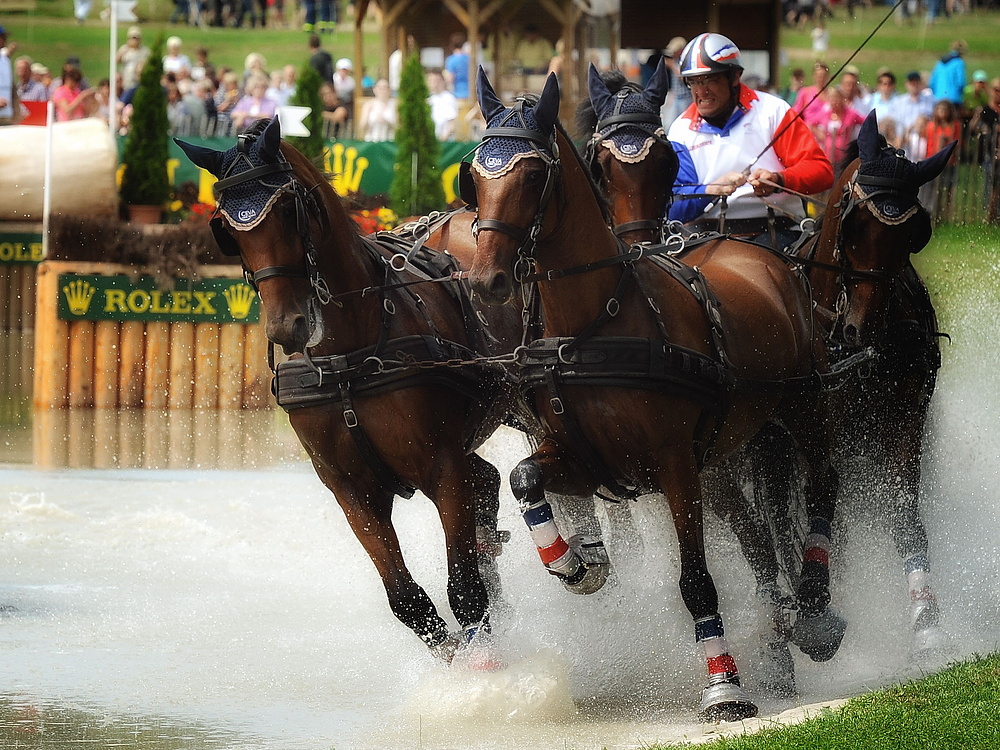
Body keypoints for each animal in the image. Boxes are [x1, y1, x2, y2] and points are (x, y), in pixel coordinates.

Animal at [176, 120, 516, 668]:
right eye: (226, 226)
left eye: (289, 210)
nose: (287, 326)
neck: (348, 359)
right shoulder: (348, 488)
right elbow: (406, 599)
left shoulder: (442, 466)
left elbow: (463, 585)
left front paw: (486, 668)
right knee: (486, 485)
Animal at [464, 70, 840, 724]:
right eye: (475, 175)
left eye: (534, 176)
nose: (487, 280)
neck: (596, 325)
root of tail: (751, 249)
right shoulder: (585, 458)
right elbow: (523, 479)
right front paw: (572, 564)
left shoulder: (673, 466)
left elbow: (696, 580)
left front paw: (724, 687)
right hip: (721, 461)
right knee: (758, 543)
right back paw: (777, 652)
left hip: (799, 405)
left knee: (822, 481)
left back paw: (814, 611)